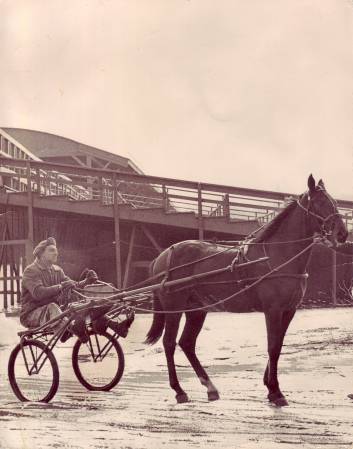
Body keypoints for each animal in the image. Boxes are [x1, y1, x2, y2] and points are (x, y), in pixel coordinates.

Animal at [145, 176, 346, 406]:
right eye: (320, 203)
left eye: (334, 202)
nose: (342, 233)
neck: (277, 255)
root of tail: (161, 257)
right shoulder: (273, 310)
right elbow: (273, 347)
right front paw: (276, 391)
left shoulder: (289, 310)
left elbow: (278, 345)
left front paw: (270, 387)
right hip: (174, 308)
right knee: (169, 343)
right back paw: (179, 390)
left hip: (197, 309)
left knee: (186, 343)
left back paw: (210, 387)